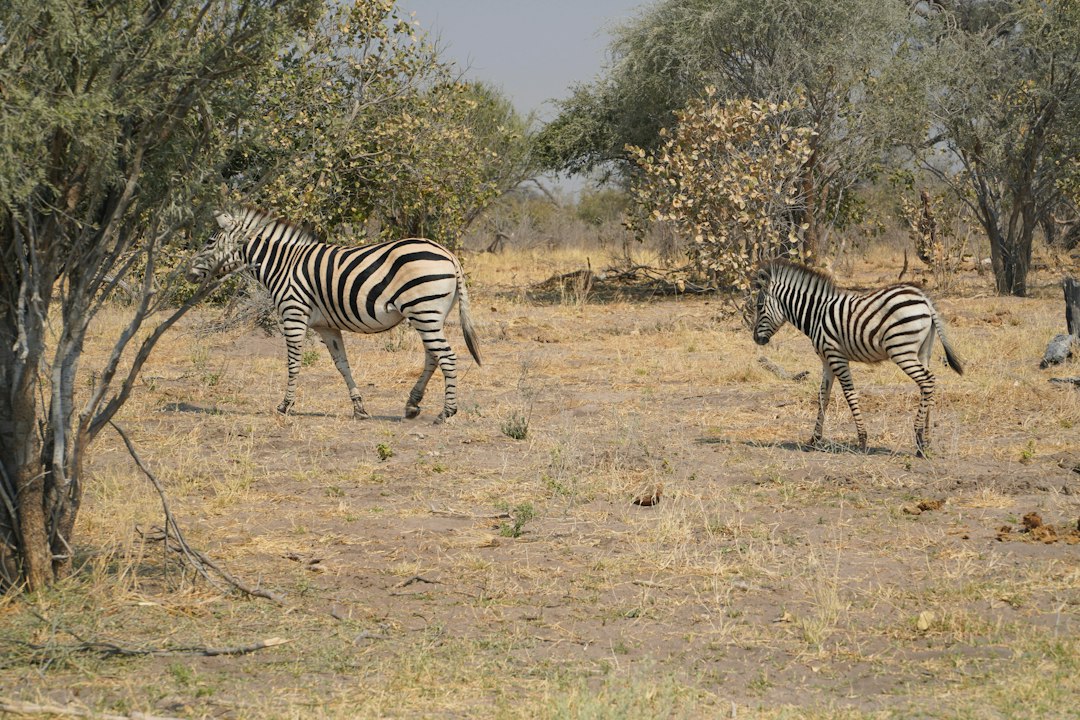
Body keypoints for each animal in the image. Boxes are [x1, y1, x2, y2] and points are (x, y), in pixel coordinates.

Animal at [186, 207, 481, 423]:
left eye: (209, 243)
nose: (188, 275)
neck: (283, 264)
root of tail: (449, 255)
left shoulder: (293, 314)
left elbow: (293, 363)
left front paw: (285, 406)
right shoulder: (326, 326)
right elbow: (342, 364)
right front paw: (359, 408)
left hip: (423, 310)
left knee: (447, 357)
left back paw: (446, 413)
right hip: (429, 315)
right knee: (433, 357)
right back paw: (412, 405)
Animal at [750, 259, 963, 456]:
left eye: (759, 307)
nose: (756, 339)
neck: (816, 315)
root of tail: (924, 300)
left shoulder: (836, 356)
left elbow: (849, 394)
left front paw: (862, 440)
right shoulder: (826, 360)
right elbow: (823, 396)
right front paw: (814, 439)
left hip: (901, 349)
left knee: (927, 381)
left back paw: (919, 440)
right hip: (923, 350)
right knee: (927, 385)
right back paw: (927, 440)